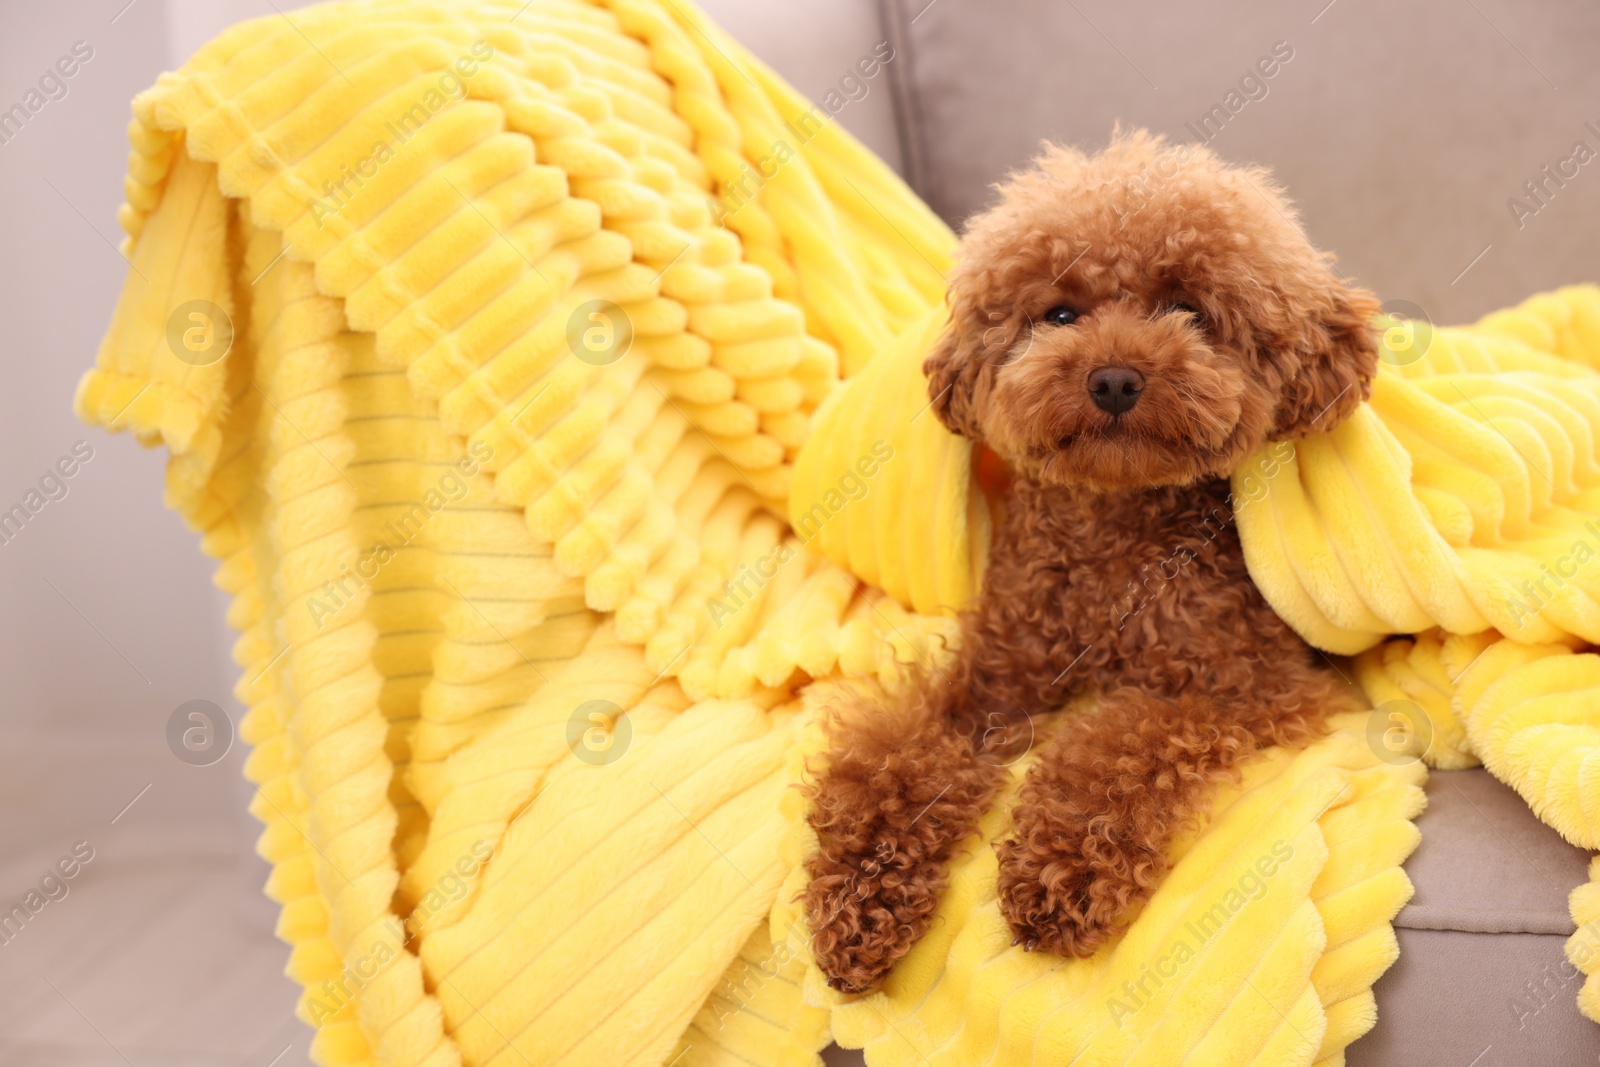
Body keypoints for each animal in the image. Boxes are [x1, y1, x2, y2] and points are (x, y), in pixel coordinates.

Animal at [806, 131, 1382, 991]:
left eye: (1189, 309)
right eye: (1059, 313)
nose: (1113, 377)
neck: (1113, 542)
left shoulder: (1251, 689)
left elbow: (1117, 740)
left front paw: (1061, 873)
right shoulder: (990, 687)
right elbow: (898, 754)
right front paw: (858, 895)